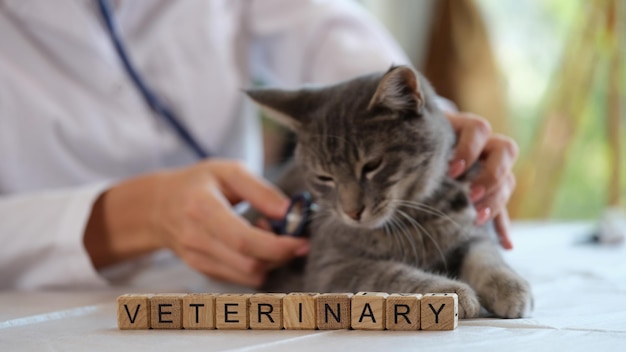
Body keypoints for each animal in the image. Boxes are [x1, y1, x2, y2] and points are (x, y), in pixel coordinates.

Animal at [244, 65, 532, 320]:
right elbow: (392, 274)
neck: (413, 219)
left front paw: (511, 286)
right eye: (324, 177)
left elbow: (487, 258)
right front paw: (449, 291)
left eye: (372, 166)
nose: (352, 212)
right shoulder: (331, 266)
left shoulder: (474, 230)